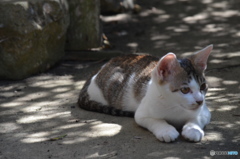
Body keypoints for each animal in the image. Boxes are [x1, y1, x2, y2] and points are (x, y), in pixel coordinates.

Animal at [78, 45, 213, 143]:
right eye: (185, 89)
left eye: (203, 86)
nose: (200, 101)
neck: (174, 105)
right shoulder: (141, 114)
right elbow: (155, 121)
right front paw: (166, 130)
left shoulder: (205, 112)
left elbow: (196, 118)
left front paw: (193, 130)